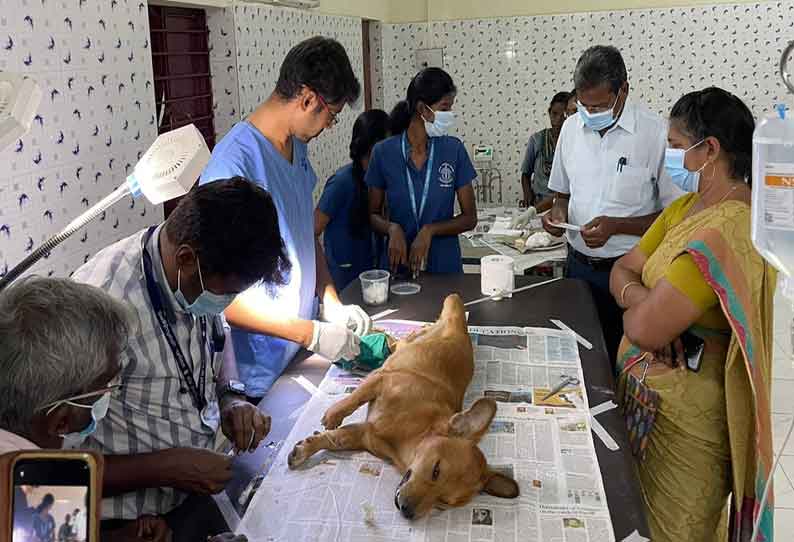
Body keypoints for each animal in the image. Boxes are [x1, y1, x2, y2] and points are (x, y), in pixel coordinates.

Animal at [288, 296, 516, 520]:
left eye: (442, 503)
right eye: (436, 470)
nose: (407, 511)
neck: (409, 436)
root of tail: (462, 328)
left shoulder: (362, 434)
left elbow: (333, 439)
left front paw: (306, 447)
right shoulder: (381, 381)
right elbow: (354, 399)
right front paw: (334, 414)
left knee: (397, 342)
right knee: (396, 341)